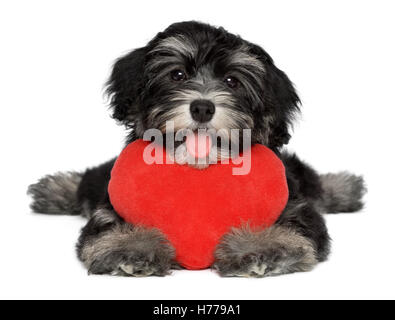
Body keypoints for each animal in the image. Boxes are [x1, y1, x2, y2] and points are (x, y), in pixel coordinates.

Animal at [28, 21, 368, 278]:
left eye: (232, 81)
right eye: (177, 74)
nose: (203, 107)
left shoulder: (294, 203)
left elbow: (295, 224)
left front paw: (261, 245)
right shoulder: (111, 203)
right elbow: (107, 222)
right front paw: (132, 246)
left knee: (312, 180)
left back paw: (344, 187)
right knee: (91, 180)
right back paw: (56, 190)